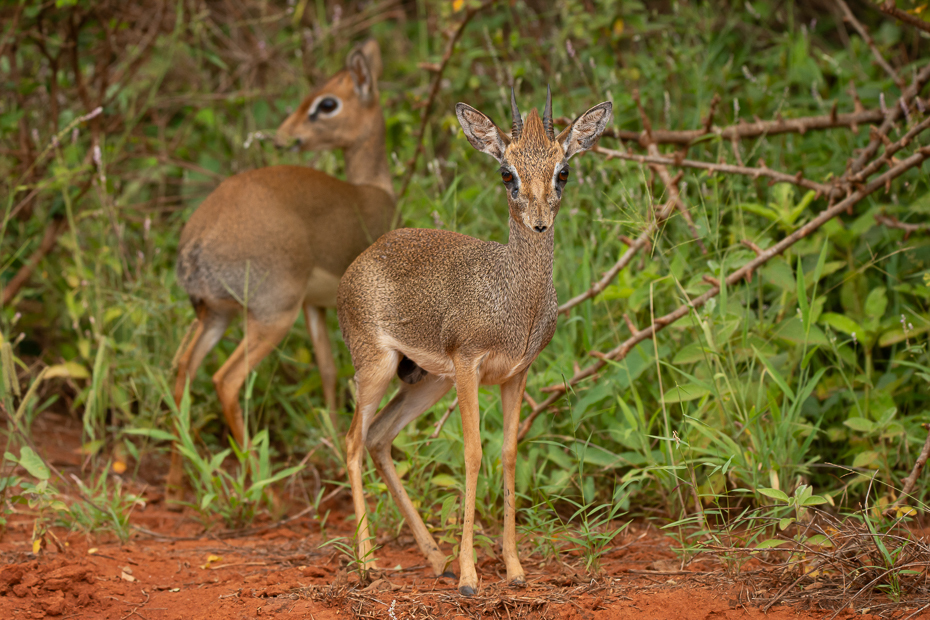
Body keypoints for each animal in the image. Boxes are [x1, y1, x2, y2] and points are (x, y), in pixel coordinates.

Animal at [167, 38, 392, 504]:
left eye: (327, 102)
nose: (287, 135)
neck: (374, 190)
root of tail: (195, 245)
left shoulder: (316, 306)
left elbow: (327, 369)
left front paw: (328, 436)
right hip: (271, 316)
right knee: (225, 380)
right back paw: (264, 493)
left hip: (215, 315)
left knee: (183, 371)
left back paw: (177, 483)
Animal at [336, 91, 608, 596]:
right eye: (507, 172)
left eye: (562, 171)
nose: (539, 223)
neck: (514, 299)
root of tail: (359, 262)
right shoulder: (469, 365)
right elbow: (472, 452)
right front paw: (469, 577)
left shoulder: (517, 374)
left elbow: (508, 453)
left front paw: (514, 568)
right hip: (378, 367)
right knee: (352, 441)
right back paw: (367, 563)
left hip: (428, 381)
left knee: (380, 437)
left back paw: (434, 557)